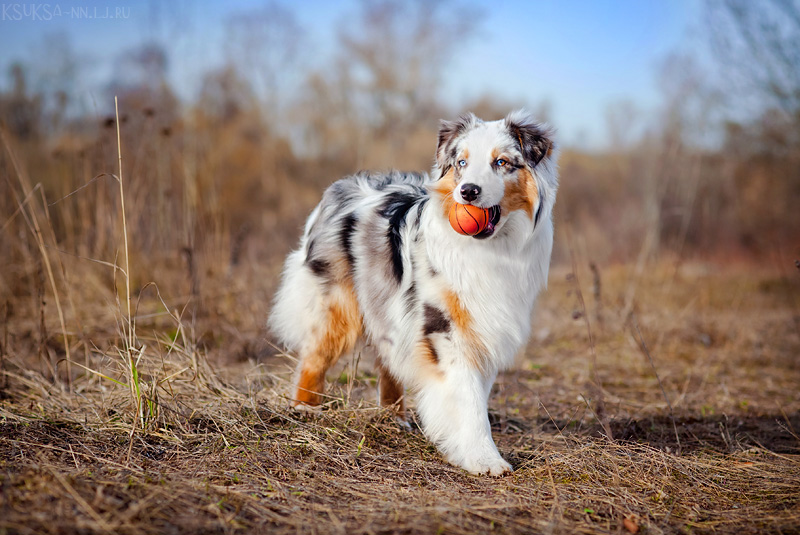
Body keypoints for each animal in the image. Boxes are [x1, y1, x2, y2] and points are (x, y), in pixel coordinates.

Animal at [268, 111, 556, 476]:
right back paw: (305, 408)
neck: (491, 249)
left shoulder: (484, 327)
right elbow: (468, 398)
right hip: (338, 305)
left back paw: (394, 417)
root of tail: (340, 186)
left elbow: (475, 393)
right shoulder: (444, 328)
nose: (468, 192)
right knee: (315, 356)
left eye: (502, 162)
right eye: (462, 163)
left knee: (387, 359)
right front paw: (484, 459)